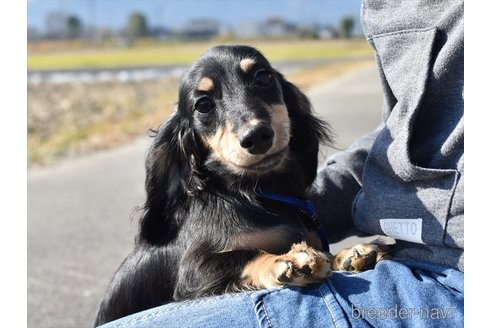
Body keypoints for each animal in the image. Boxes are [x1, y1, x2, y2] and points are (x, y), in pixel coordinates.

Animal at [94, 45, 390, 326]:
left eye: (263, 77)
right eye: (203, 104)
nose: (256, 136)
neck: (252, 193)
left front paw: (350, 254)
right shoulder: (193, 269)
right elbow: (244, 254)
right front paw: (287, 260)